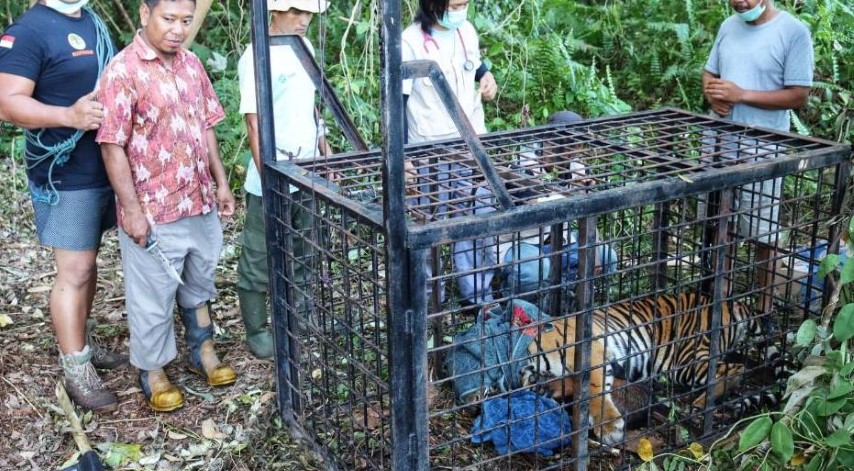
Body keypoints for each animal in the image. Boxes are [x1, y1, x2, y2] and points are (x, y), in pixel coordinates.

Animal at [520, 291, 780, 445]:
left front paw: (609, 427)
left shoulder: (592, 354)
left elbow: (593, 390)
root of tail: (731, 302)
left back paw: (701, 403)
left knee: (736, 368)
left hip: (685, 360)